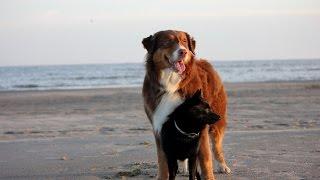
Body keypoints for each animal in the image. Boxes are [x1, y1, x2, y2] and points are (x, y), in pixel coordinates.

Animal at [142, 30, 230, 179]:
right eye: (168, 42)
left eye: (184, 42)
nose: (183, 51)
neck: (171, 84)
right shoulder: (159, 127)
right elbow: (163, 162)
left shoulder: (202, 130)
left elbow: (205, 160)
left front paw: (208, 176)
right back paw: (184, 167)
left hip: (217, 121)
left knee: (217, 146)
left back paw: (222, 165)